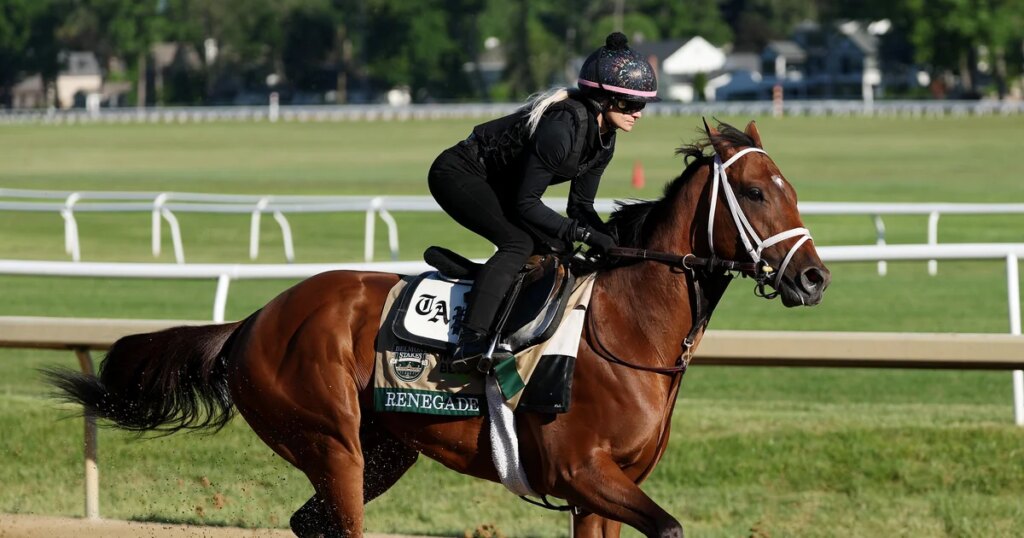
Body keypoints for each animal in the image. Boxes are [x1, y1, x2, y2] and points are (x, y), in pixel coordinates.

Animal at [47, 120, 830, 538]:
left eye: (793, 189)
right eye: (754, 192)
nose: (815, 278)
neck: (624, 330)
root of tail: (252, 321)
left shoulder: (598, 492)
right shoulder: (584, 473)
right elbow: (668, 525)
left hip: (385, 449)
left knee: (310, 521)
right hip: (331, 443)